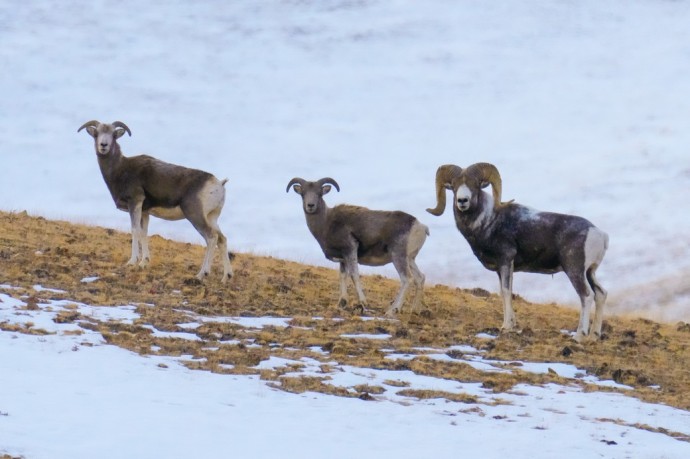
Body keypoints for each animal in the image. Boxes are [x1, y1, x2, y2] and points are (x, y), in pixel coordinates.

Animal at [75, 120, 231, 282]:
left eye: (113, 134)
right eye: (97, 134)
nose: (103, 145)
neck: (120, 169)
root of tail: (219, 184)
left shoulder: (135, 203)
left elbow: (135, 231)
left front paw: (132, 262)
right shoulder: (144, 212)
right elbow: (144, 233)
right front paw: (144, 263)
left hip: (195, 216)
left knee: (211, 238)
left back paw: (201, 274)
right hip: (212, 218)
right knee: (222, 239)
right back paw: (226, 277)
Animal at [284, 178, 424, 318]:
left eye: (319, 193)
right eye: (303, 194)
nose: (310, 205)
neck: (326, 223)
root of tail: (420, 227)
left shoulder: (350, 250)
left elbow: (354, 275)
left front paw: (363, 303)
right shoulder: (343, 259)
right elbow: (343, 276)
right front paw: (342, 303)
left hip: (398, 257)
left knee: (407, 279)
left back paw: (391, 311)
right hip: (410, 259)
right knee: (420, 278)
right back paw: (415, 310)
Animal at [424, 163, 608, 342]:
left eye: (475, 185)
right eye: (454, 186)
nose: (462, 200)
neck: (488, 221)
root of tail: (599, 234)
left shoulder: (506, 261)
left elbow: (506, 292)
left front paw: (506, 327)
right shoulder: (501, 268)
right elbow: (504, 292)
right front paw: (510, 325)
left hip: (574, 270)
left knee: (586, 296)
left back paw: (579, 336)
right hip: (589, 272)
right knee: (600, 294)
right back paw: (594, 336)